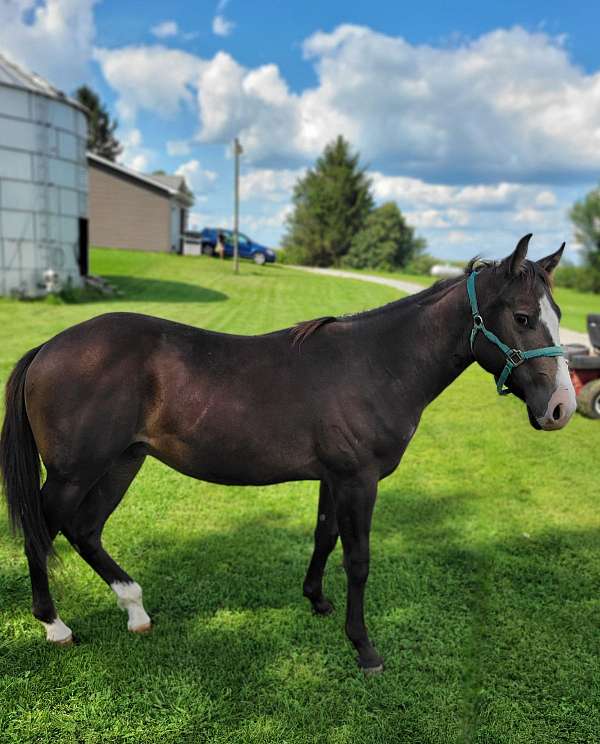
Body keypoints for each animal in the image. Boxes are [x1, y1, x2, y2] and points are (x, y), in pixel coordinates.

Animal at [0, 235, 576, 673]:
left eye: (557, 313)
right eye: (523, 317)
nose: (561, 408)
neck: (377, 363)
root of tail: (47, 348)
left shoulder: (333, 477)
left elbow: (324, 535)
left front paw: (316, 600)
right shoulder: (359, 480)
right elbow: (358, 558)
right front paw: (364, 648)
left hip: (122, 462)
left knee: (85, 529)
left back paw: (135, 609)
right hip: (75, 473)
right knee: (41, 530)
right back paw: (55, 625)